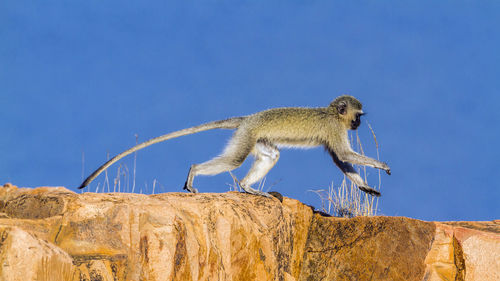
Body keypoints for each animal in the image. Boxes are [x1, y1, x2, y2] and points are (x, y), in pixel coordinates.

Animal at [78, 96, 390, 197]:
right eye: (357, 116)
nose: (357, 125)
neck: (332, 114)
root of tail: (247, 118)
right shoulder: (335, 130)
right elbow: (345, 154)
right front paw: (382, 166)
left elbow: (341, 161)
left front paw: (365, 187)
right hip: (246, 136)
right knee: (234, 161)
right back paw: (194, 173)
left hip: (256, 138)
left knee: (270, 156)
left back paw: (246, 187)